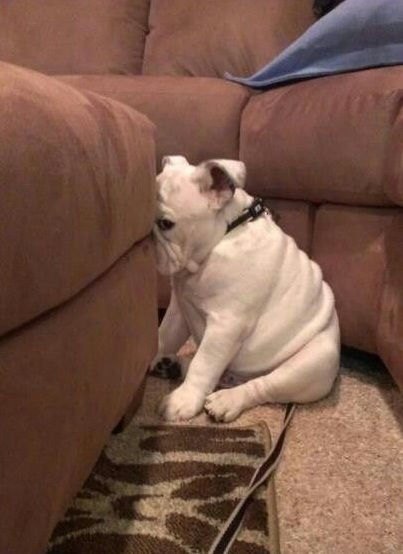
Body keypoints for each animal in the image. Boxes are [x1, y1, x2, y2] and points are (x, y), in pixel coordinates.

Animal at [152, 153, 340, 420]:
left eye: (166, 223)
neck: (222, 236)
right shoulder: (179, 308)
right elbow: (165, 335)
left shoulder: (226, 325)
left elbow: (203, 364)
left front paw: (183, 401)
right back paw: (171, 365)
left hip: (312, 363)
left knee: (262, 386)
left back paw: (227, 401)